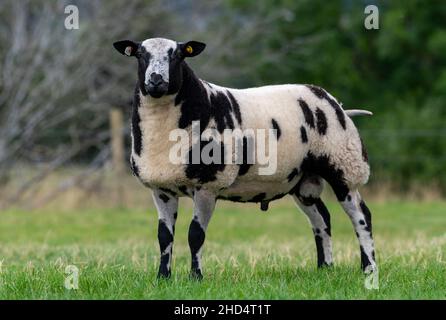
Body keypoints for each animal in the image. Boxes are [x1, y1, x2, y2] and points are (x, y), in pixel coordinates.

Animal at [114, 37, 376, 278]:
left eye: (178, 55)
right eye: (140, 55)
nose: (156, 80)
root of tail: (334, 102)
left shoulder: (208, 185)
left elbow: (195, 235)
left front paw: (196, 277)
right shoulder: (161, 189)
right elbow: (164, 236)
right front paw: (163, 277)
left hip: (344, 165)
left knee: (361, 216)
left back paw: (369, 269)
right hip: (302, 180)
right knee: (322, 219)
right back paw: (325, 268)